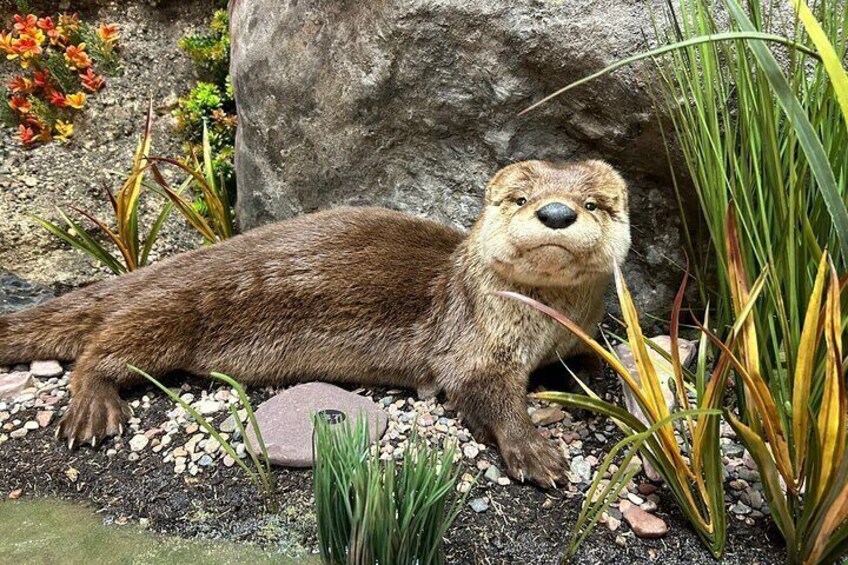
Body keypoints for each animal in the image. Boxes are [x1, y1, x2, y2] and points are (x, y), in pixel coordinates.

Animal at [0, 159, 630, 486]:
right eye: (520, 198)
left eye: (594, 204)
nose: (556, 212)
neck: (544, 325)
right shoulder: (474, 336)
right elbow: (481, 390)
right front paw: (536, 451)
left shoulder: (580, 333)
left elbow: (589, 362)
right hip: (170, 311)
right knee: (100, 347)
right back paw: (91, 411)